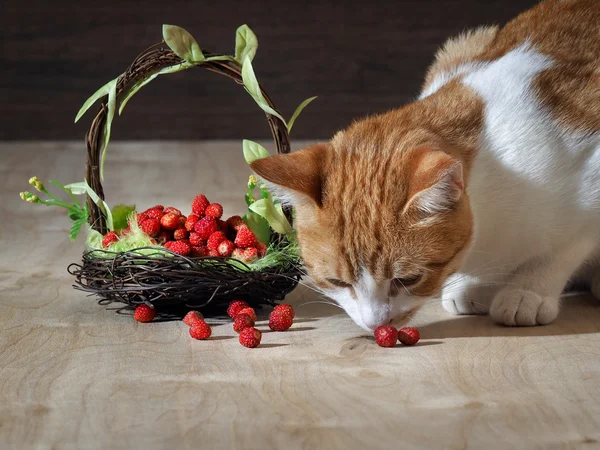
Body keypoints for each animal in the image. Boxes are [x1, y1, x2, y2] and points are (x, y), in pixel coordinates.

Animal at [252, 0, 600, 330]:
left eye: (408, 279)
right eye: (336, 282)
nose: (375, 323)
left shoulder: (589, 187)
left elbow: (559, 252)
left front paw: (527, 291)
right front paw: (472, 286)